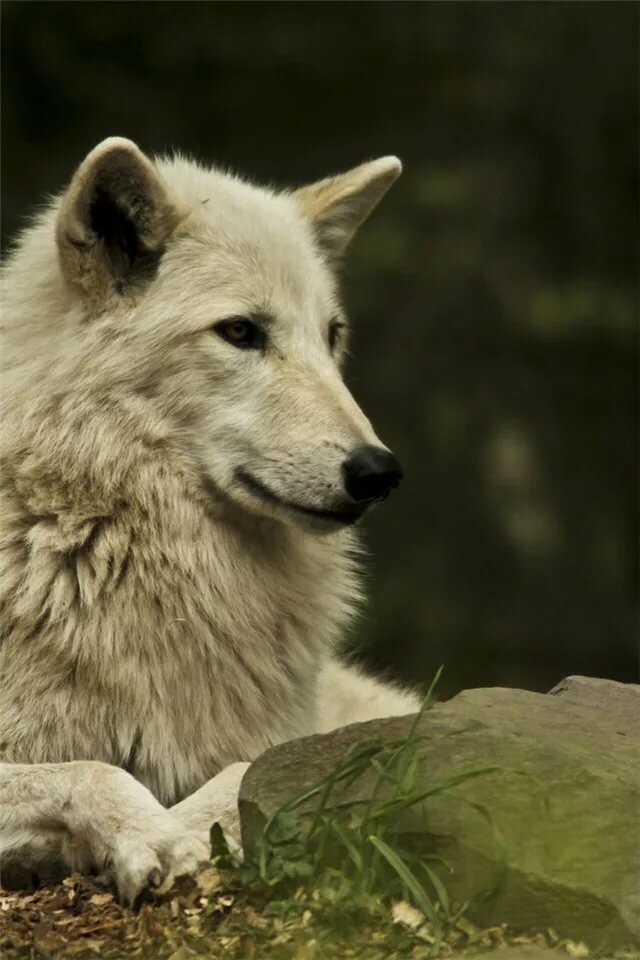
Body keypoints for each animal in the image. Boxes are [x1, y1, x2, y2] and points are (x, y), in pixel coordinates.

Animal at [0, 138, 419, 904]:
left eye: (332, 335)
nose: (379, 472)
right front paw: (155, 836)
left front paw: (190, 832)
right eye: (240, 332)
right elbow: (91, 770)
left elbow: (251, 771)